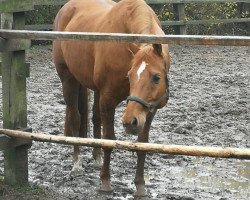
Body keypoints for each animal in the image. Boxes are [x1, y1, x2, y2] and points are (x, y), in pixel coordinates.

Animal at [52, 0, 170, 196]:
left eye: (156, 77)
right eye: (129, 75)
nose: (131, 121)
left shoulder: (149, 109)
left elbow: (142, 144)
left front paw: (140, 185)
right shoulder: (108, 100)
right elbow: (108, 139)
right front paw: (105, 182)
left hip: (95, 90)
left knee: (95, 118)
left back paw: (97, 158)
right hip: (68, 79)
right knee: (75, 118)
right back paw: (77, 163)